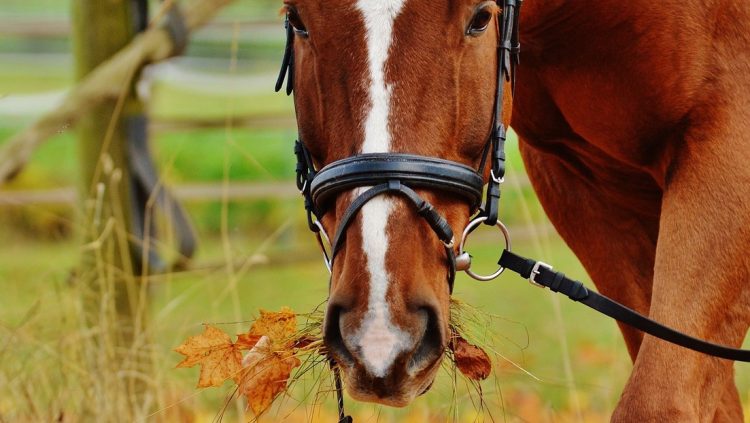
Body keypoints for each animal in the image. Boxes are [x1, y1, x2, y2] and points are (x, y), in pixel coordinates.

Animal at [280, 0, 750, 420]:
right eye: (297, 20)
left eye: (481, 18)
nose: (381, 333)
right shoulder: (580, 183)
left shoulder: (728, 145)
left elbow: (658, 403)